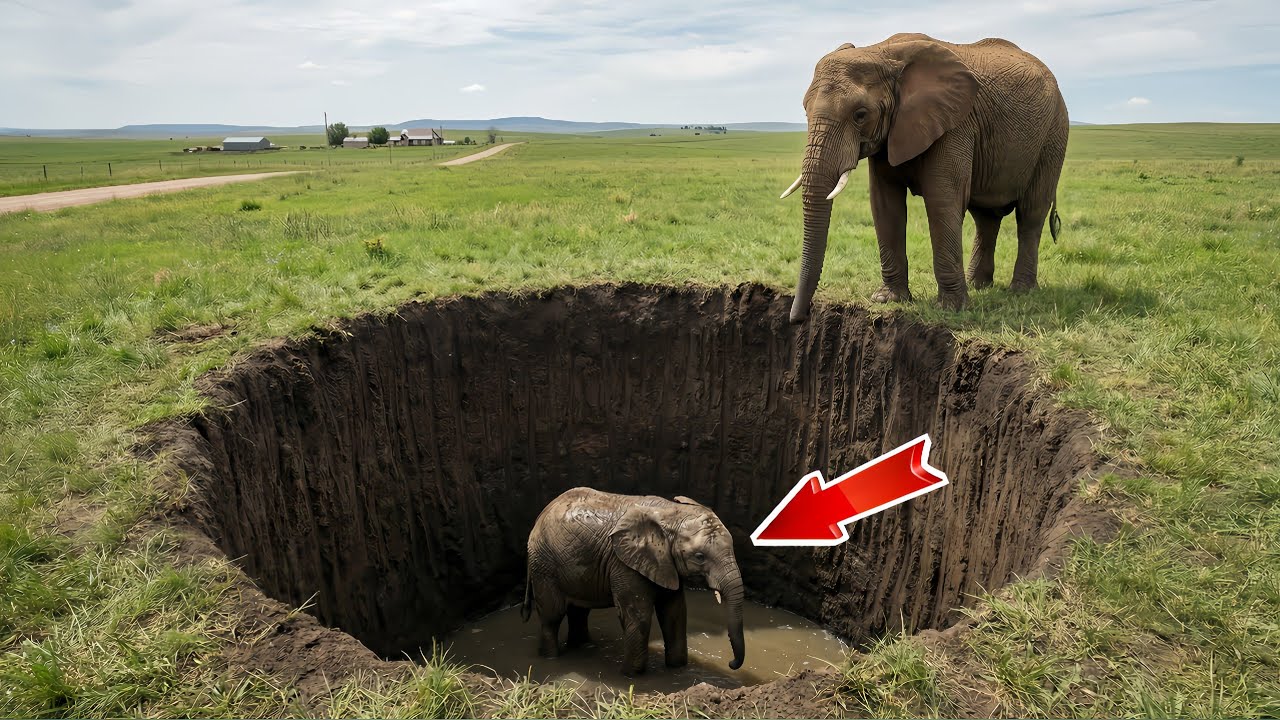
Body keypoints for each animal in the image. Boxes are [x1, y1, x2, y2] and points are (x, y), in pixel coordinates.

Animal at [521, 487, 745, 675]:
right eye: (699, 557)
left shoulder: (665, 564)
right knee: (553, 615)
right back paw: (551, 658)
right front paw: (630, 676)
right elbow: (639, 617)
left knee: (579, 611)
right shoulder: (625, 563)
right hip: (544, 564)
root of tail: (541, 514)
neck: (671, 513)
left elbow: (675, 613)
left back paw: (584, 647)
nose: (731, 664)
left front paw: (677, 668)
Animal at [781, 33, 1068, 321]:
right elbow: (885, 205)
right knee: (985, 218)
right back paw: (978, 285)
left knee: (1031, 213)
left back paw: (1020, 291)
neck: (881, 52)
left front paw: (952, 309)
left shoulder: (955, 125)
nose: (797, 318)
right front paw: (887, 299)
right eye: (805, 111)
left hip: (1053, 136)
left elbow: (942, 201)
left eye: (860, 115)